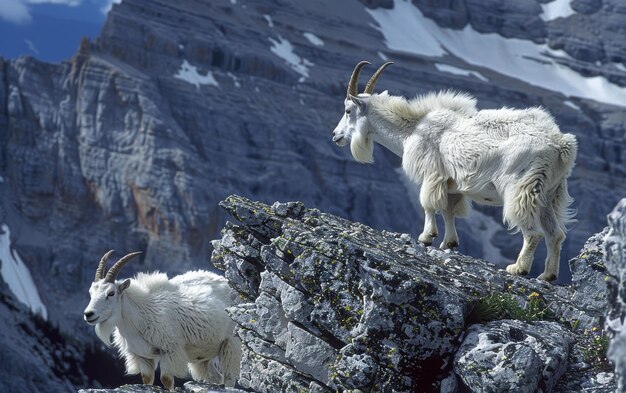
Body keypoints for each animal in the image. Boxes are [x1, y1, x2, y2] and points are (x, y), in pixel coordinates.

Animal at [83, 250, 239, 388]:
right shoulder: (142, 356)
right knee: (217, 377)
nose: (88, 314)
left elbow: (166, 380)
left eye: (111, 293)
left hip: (230, 344)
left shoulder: (170, 350)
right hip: (203, 356)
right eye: (91, 292)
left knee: (229, 378)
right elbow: (146, 379)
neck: (140, 315)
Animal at [332, 60, 576, 282]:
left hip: (521, 188)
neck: (413, 129)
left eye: (348, 110)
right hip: (550, 193)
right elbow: (449, 210)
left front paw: (426, 237)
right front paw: (448, 243)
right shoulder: (453, 184)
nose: (336, 136)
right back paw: (548, 275)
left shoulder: (432, 173)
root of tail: (561, 145)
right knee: (555, 234)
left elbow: (429, 204)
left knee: (533, 232)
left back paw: (518, 268)